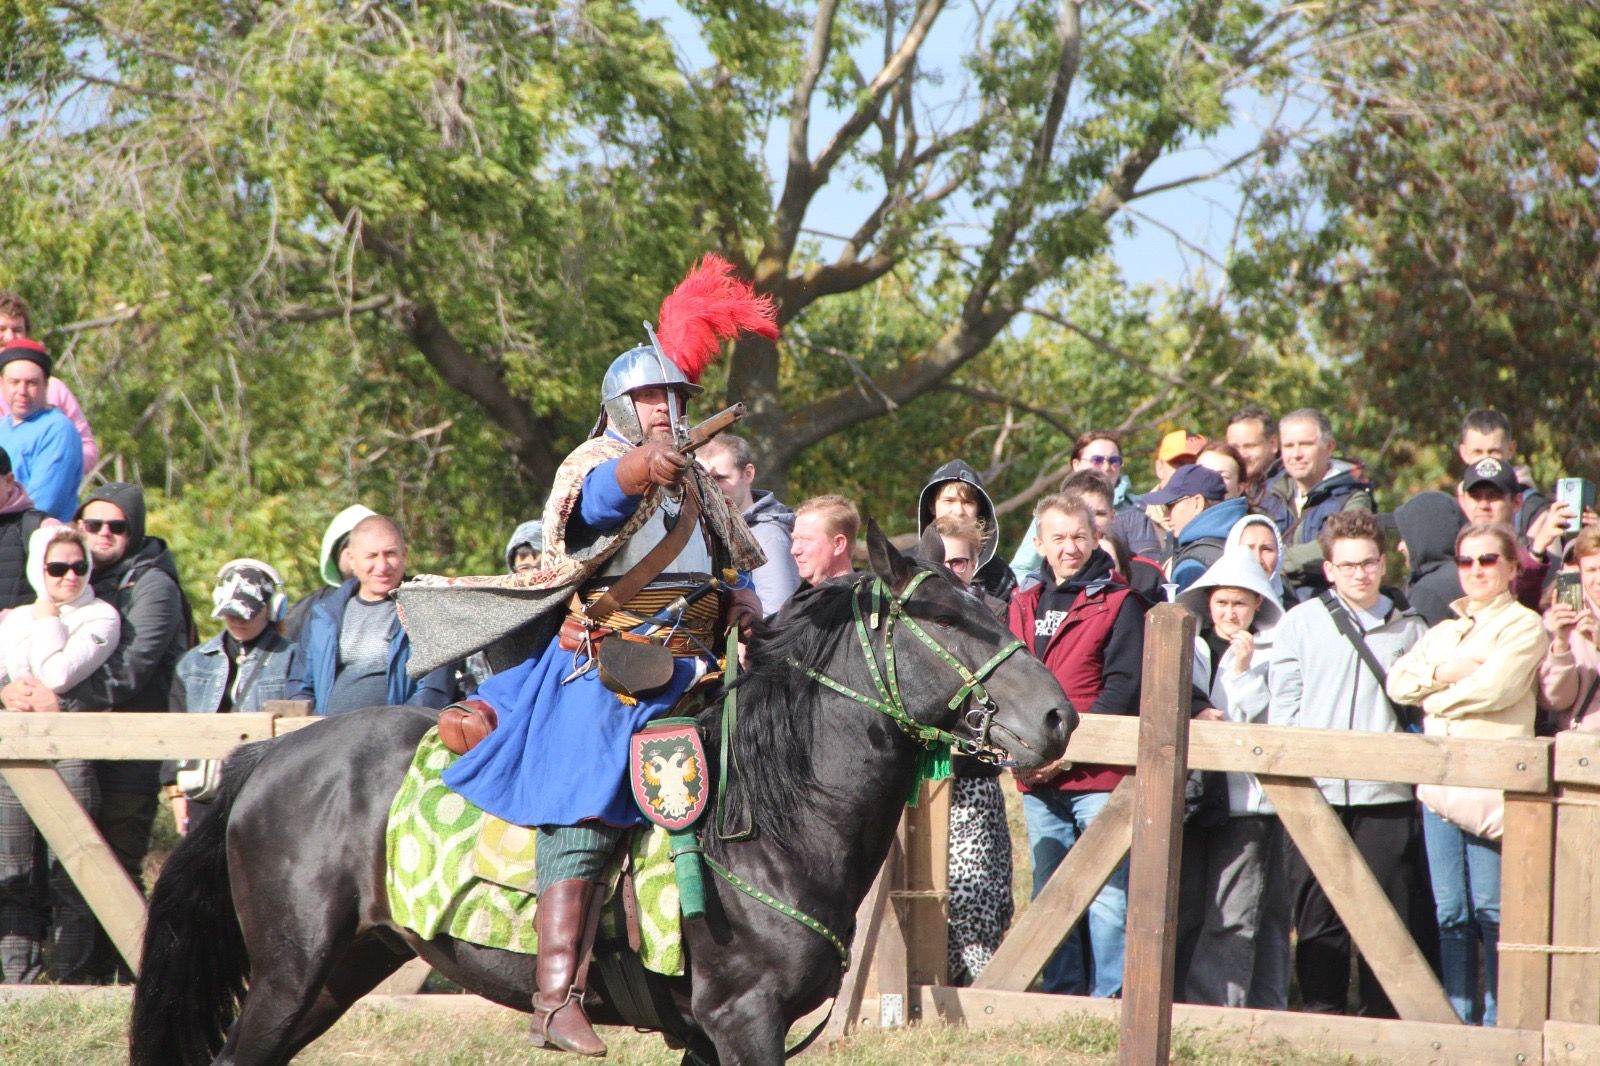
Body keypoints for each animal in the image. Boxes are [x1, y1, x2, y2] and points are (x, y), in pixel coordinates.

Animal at [128, 524, 1075, 1062]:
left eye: (988, 601)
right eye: (945, 619)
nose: (1059, 717)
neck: (772, 818)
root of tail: (270, 759)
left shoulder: (715, 1033)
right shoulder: (744, 1019)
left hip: (336, 972)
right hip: (290, 973)